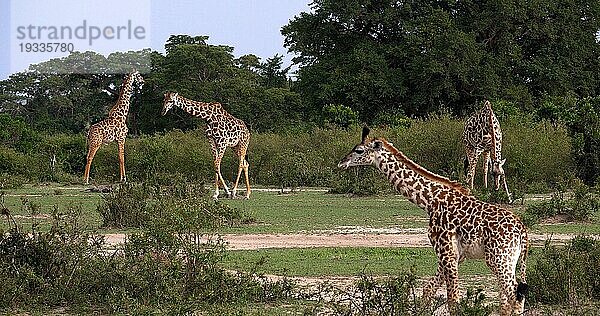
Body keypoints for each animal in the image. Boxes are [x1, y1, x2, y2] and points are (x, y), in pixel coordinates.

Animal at [340, 126, 528, 316]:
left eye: (359, 150)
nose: (342, 162)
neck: (430, 201)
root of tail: (522, 231)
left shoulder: (447, 252)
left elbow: (453, 301)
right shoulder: (453, 255)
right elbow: (428, 290)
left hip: (498, 258)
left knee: (515, 295)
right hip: (510, 260)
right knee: (509, 300)